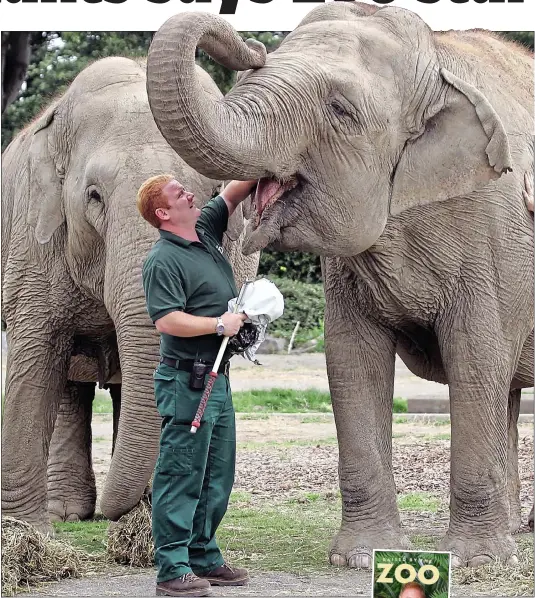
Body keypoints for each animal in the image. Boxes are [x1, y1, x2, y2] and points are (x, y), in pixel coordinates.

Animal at [0, 56, 260, 536]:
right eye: (94, 196)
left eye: (212, 193)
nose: (109, 511)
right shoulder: (33, 239)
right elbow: (36, 361)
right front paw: (26, 532)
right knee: (70, 382)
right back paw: (66, 513)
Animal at [144, 0, 532, 572]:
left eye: (341, 110)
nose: (251, 47)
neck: (438, 63)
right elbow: (351, 359)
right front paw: (360, 558)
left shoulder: (491, 236)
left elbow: (475, 355)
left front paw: (476, 562)